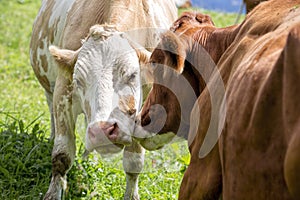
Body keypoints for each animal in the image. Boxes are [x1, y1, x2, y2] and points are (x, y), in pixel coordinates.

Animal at [29, 0, 177, 199]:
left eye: (132, 75)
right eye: (78, 80)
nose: (102, 131)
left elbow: (134, 162)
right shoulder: (63, 90)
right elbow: (62, 154)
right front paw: (53, 193)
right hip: (49, 88)